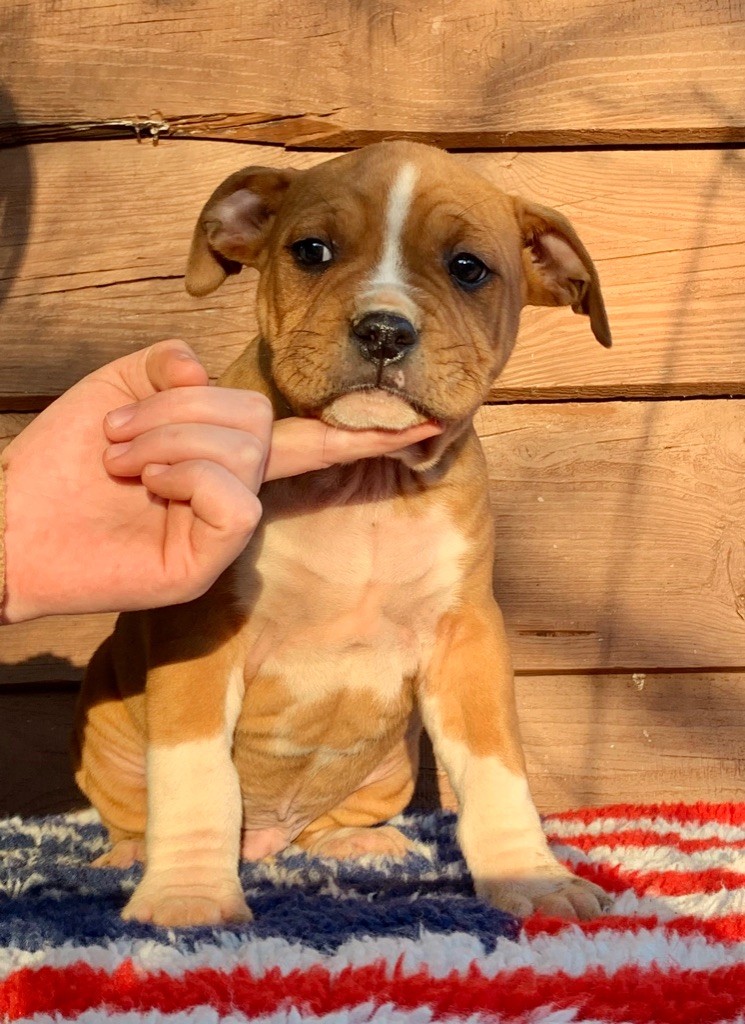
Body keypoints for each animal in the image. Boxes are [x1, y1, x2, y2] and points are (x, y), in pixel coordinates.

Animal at [74, 141, 612, 927]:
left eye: (467, 268)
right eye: (312, 251)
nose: (384, 329)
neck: (365, 480)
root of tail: (267, 839)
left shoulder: (466, 637)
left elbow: (496, 769)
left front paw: (530, 877)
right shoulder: (200, 634)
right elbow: (196, 775)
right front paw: (188, 898)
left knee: (324, 824)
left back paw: (353, 843)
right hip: (106, 735)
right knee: (134, 808)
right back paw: (133, 853)